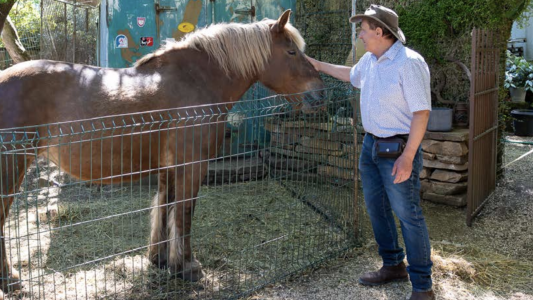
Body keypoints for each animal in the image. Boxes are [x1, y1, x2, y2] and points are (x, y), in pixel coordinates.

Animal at [0, 9, 322, 292]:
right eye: (291, 52)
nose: (319, 94)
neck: (196, 81)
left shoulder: (169, 169)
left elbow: (166, 209)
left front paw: (162, 259)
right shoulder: (192, 166)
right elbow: (185, 213)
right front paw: (188, 266)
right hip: (11, 169)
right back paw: (11, 280)